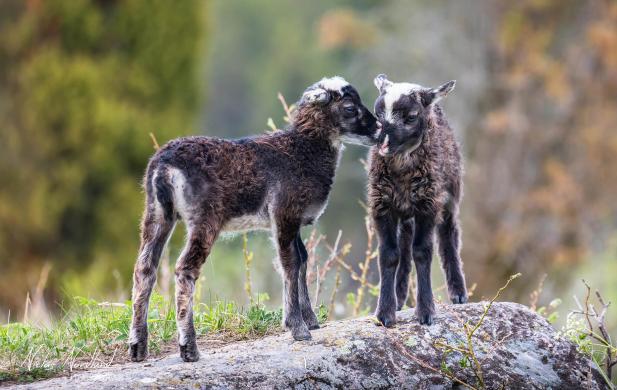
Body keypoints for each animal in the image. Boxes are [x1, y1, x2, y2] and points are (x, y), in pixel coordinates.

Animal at [129, 76, 378, 362]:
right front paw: (298, 328)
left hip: (156, 213)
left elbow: (303, 260)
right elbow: (290, 263)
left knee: (144, 268)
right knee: (185, 269)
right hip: (205, 218)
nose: (379, 129)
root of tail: (165, 166)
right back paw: (189, 348)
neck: (302, 150)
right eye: (349, 108)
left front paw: (311, 320)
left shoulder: (292, 220)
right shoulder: (285, 213)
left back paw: (138, 347)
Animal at [368, 73, 464, 326]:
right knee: (404, 245)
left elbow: (422, 252)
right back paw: (399, 297)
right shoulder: (382, 204)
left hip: (450, 195)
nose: (382, 143)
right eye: (377, 114)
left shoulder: (427, 205)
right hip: (405, 212)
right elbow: (389, 255)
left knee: (449, 236)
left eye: (411, 116)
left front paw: (426, 312)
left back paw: (459, 293)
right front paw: (385, 313)